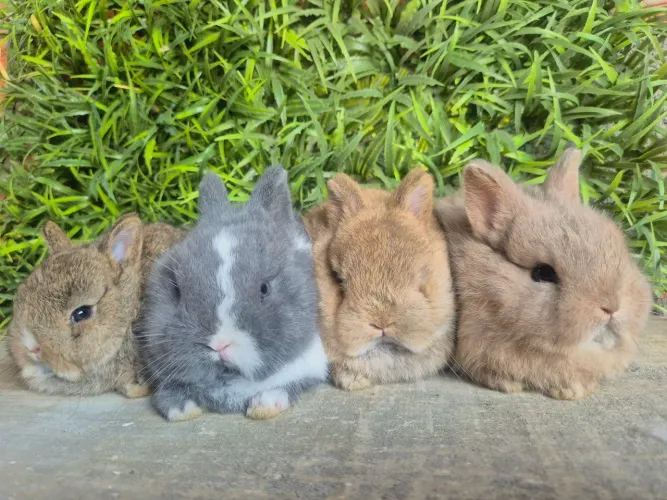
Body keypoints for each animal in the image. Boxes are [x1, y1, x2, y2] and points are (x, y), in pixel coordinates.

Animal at [139, 167, 328, 422]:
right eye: (176, 289)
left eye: (264, 288)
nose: (219, 345)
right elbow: (169, 393)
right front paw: (182, 411)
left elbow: (285, 387)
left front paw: (264, 405)